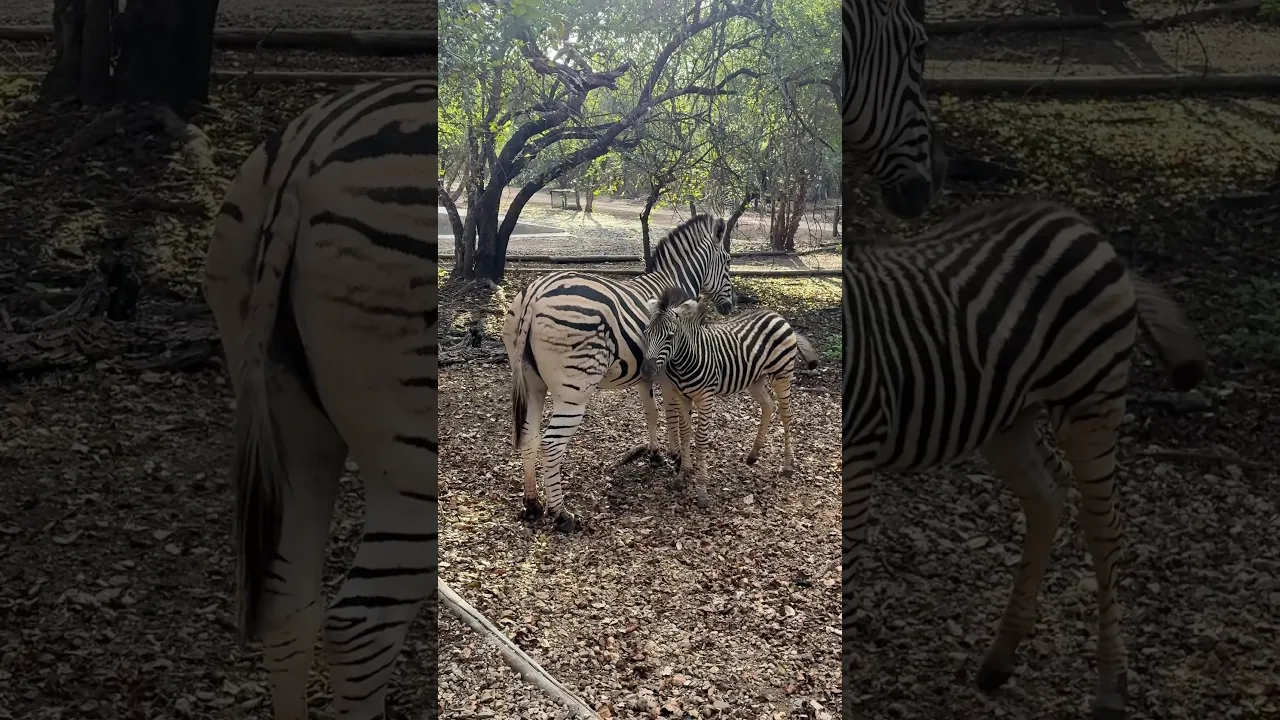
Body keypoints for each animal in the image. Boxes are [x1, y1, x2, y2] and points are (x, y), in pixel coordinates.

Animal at [503, 214, 735, 533]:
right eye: (728, 261)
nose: (730, 307)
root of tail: (534, 296)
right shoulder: (670, 370)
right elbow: (674, 415)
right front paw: (677, 456)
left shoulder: (647, 371)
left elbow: (651, 413)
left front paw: (655, 454)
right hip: (574, 390)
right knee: (551, 445)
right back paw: (561, 514)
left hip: (532, 384)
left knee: (529, 437)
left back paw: (532, 504)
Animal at [639, 286, 820, 508]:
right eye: (646, 333)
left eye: (670, 337)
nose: (646, 370)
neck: (684, 361)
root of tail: (777, 315)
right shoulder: (683, 397)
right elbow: (685, 434)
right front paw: (682, 476)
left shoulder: (705, 398)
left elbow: (700, 439)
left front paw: (702, 491)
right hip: (755, 379)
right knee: (768, 405)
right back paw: (753, 455)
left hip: (782, 374)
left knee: (786, 415)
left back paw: (787, 465)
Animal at [841, 199, 1207, 720]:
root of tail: (1079, 222)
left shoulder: (860, 446)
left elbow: (848, 569)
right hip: (1003, 420)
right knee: (1047, 495)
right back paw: (1000, 659)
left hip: (1090, 403)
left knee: (1104, 526)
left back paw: (1111, 686)